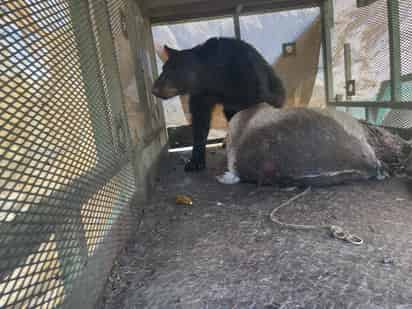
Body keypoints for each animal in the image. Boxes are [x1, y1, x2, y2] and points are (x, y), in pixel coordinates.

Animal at [152, 36, 286, 171]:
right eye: (163, 69)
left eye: (174, 70)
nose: (154, 90)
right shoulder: (201, 97)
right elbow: (200, 126)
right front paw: (195, 161)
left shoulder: (249, 85)